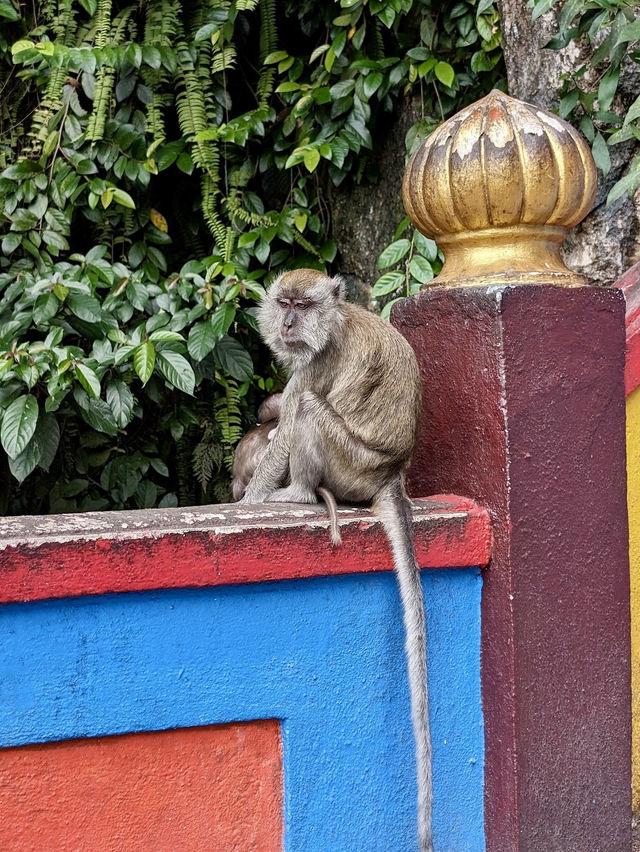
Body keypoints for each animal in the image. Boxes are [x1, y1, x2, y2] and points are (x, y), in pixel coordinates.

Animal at [241, 268, 436, 852]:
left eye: (302, 306)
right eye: (284, 302)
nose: (286, 324)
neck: (334, 322)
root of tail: (390, 473)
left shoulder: (314, 364)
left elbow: (289, 423)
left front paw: (251, 500)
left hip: (349, 464)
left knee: (309, 411)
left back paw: (300, 495)